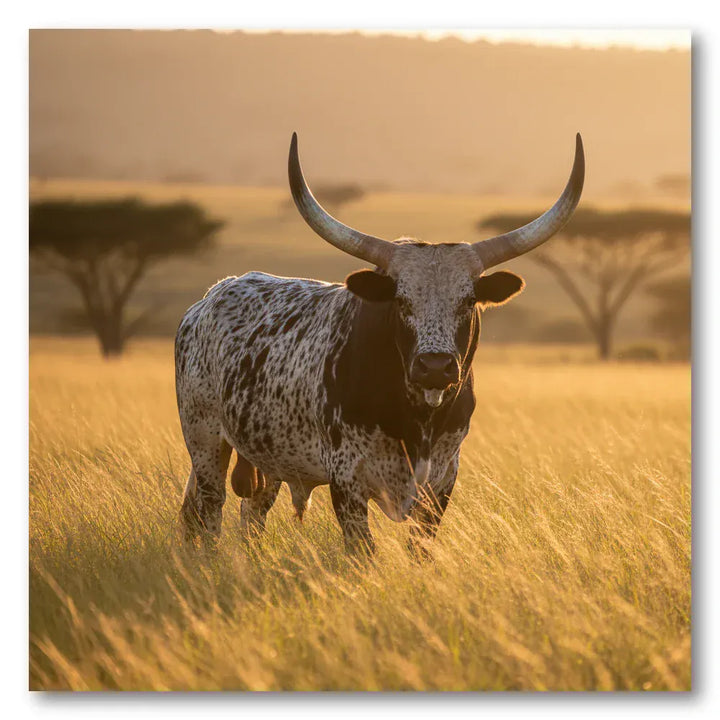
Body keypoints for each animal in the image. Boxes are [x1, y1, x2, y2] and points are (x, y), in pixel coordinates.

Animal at [176, 132, 584, 555]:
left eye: (469, 301)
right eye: (400, 300)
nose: (434, 367)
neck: (416, 419)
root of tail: (210, 296)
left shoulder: (442, 480)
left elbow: (421, 549)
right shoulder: (346, 478)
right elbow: (362, 551)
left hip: (268, 457)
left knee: (248, 514)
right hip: (205, 440)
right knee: (209, 511)